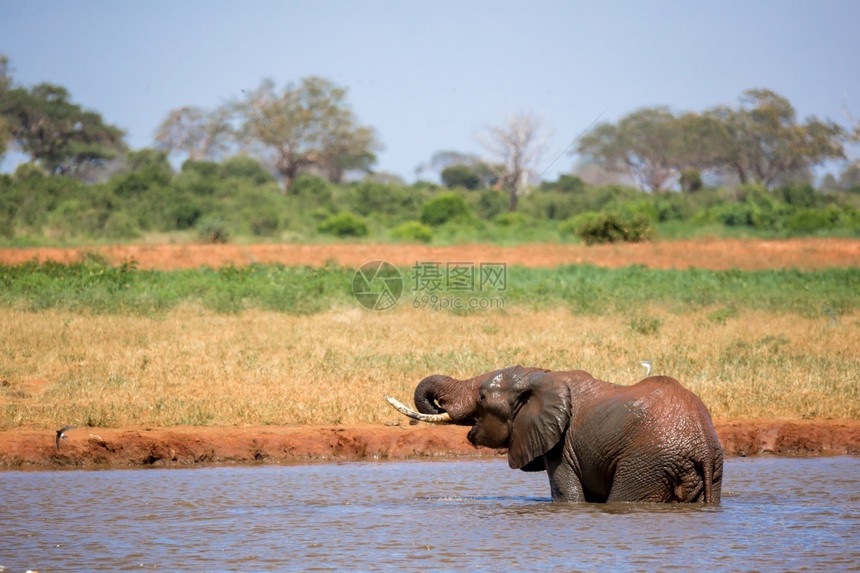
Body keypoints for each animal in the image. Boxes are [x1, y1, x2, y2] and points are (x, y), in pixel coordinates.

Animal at [386, 366, 724, 500]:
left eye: (482, 397)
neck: (540, 377)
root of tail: (703, 447)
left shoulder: (563, 446)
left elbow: (567, 496)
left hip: (646, 464)